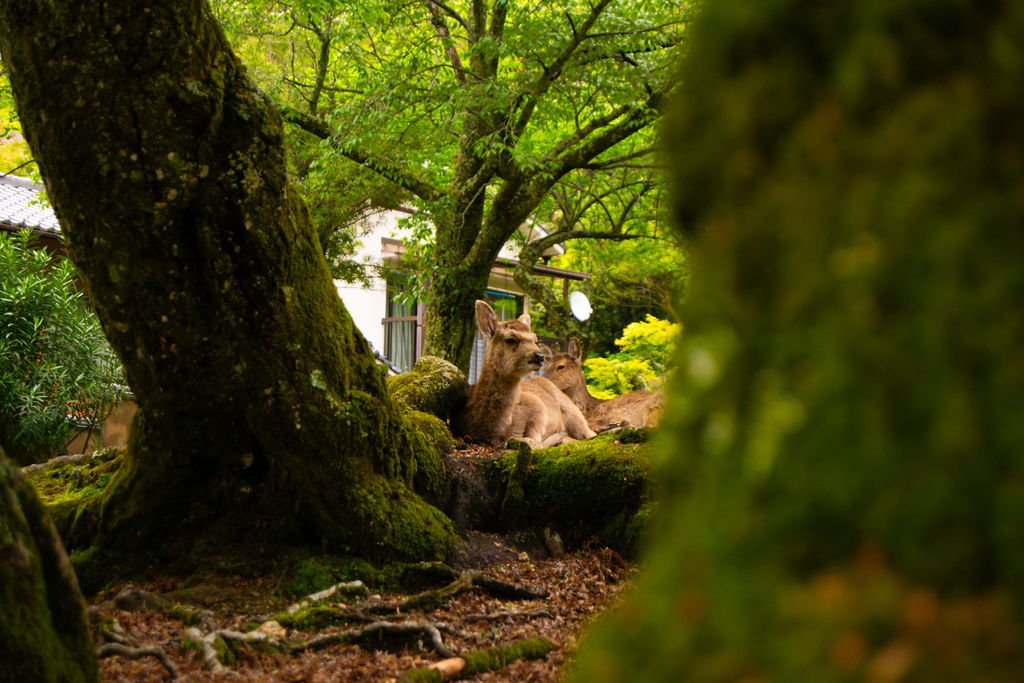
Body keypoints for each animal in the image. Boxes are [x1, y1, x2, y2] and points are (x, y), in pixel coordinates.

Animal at [457, 301, 596, 449]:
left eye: (536, 340)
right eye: (510, 339)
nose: (539, 356)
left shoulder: (537, 407)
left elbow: (534, 438)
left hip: (572, 411)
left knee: (589, 433)